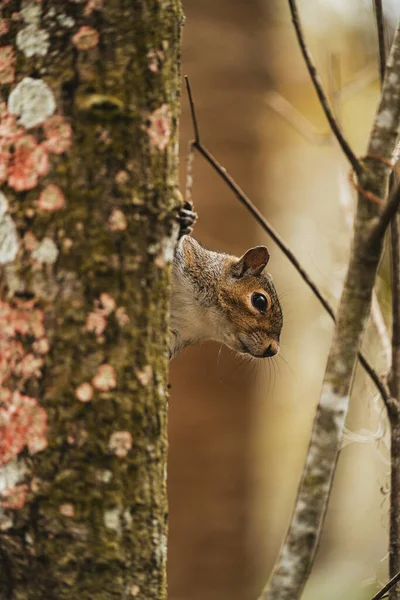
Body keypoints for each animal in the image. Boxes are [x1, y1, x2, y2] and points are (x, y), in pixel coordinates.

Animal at [170, 202, 284, 360]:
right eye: (260, 301)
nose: (273, 349)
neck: (203, 314)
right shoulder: (188, 256)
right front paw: (183, 225)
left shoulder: (177, 334)